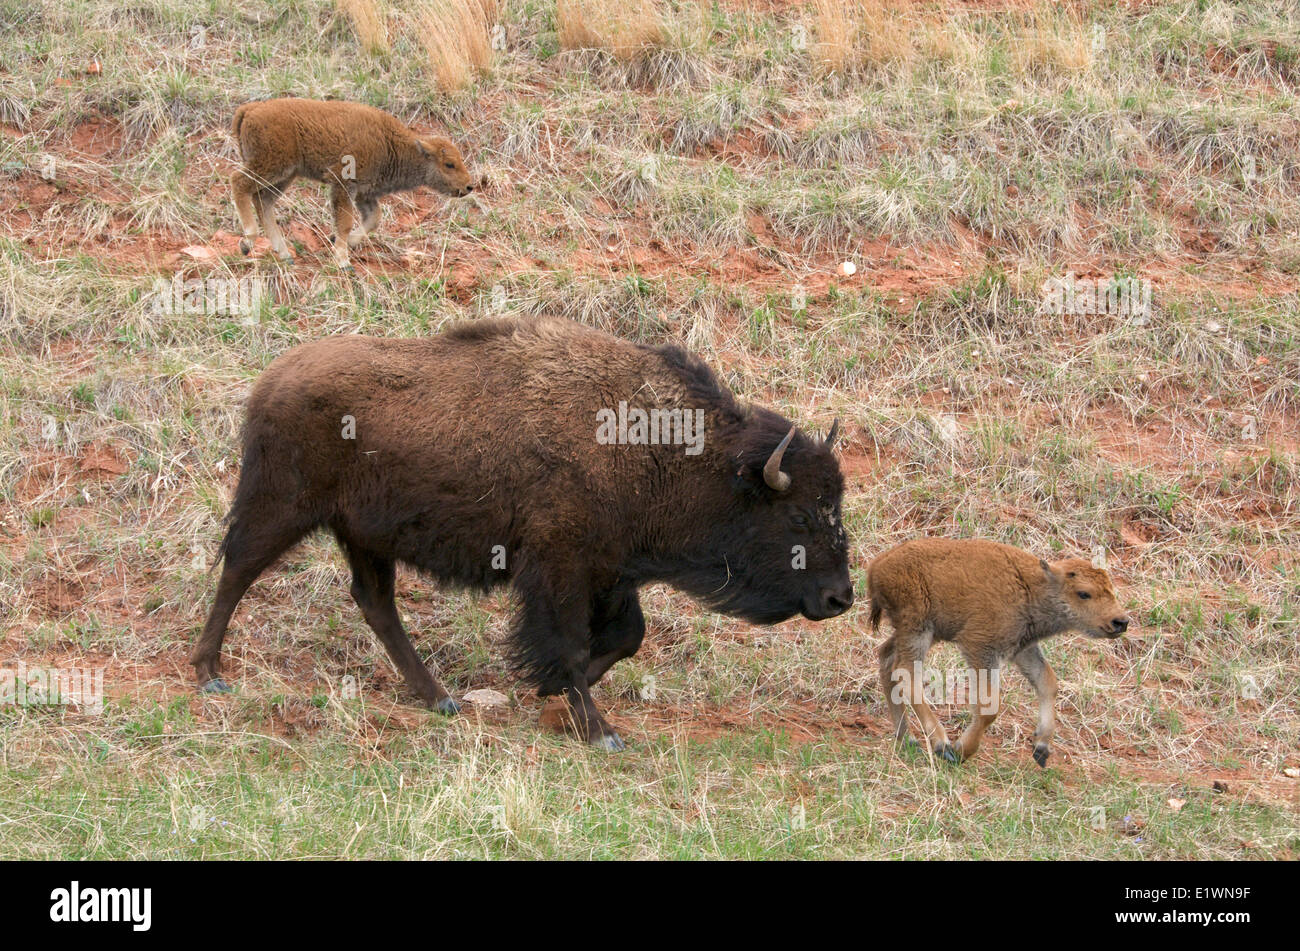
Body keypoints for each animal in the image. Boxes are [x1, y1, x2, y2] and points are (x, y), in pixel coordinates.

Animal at [192, 319, 852, 748]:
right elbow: (571, 642)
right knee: (239, 568)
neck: (660, 448)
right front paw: (597, 728)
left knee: (374, 603)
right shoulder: (563, 569)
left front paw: (550, 698)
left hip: (365, 537)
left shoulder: (611, 571)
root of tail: (272, 380)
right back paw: (209, 673)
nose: (840, 597)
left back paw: (438, 698)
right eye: (799, 516)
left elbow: (625, 638)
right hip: (283, 508)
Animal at [228, 98, 478, 267]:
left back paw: (284, 254)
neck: (391, 144)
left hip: (285, 175)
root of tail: (249, 109)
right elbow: (346, 221)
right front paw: (343, 260)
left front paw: (348, 242)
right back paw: (248, 240)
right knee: (239, 183)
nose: (469, 186)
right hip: (271, 166)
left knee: (263, 201)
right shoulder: (343, 184)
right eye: (449, 164)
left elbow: (373, 219)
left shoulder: (365, 194)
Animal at [868, 537, 1133, 769]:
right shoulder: (980, 647)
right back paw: (941, 745)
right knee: (905, 673)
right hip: (918, 628)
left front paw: (1041, 748)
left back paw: (907, 739)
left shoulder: (1022, 649)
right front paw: (961, 751)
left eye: (1111, 589)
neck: (1032, 587)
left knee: (887, 659)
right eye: (1084, 593)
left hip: (921, 633)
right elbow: (990, 706)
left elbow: (1047, 682)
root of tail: (877, 565)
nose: (1120, 622)